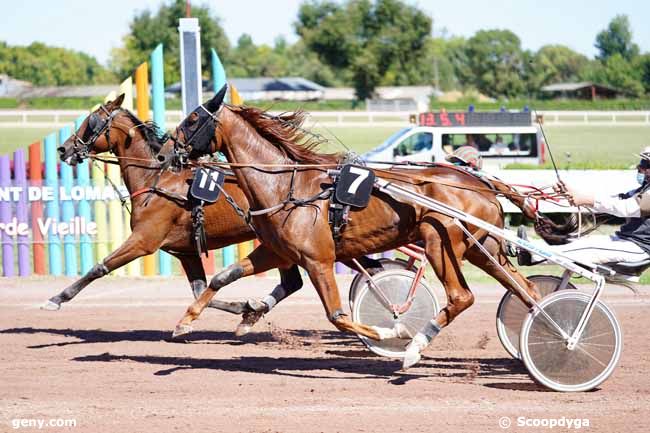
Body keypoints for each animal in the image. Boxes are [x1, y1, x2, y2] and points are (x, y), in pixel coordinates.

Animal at [170, 92, 540, 368]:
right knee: (526, 290)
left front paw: (392, 333)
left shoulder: (318, 260)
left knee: (462, 296)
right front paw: (187, 320)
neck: (286, 186)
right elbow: (222, 277)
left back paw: (415, 346)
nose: (166, 151)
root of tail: (482, 182)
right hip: (483, 249)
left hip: (440, 240)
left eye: (193, 119)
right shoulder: (275, 251)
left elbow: (338, 316)